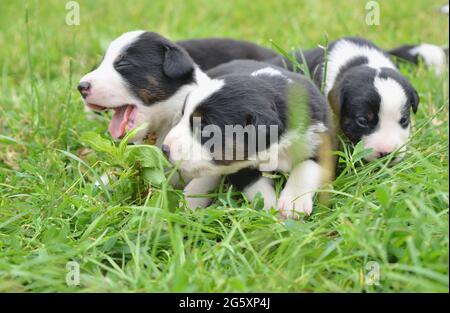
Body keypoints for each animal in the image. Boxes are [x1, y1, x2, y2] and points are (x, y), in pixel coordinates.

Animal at [162, 60, 334, 217]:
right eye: (182, 115)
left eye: (204, 127)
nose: (164, 148)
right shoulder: (240, 167)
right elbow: (257, 189)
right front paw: (272, 212)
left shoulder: (322, 138)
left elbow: (306, 167)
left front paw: (293, 203)